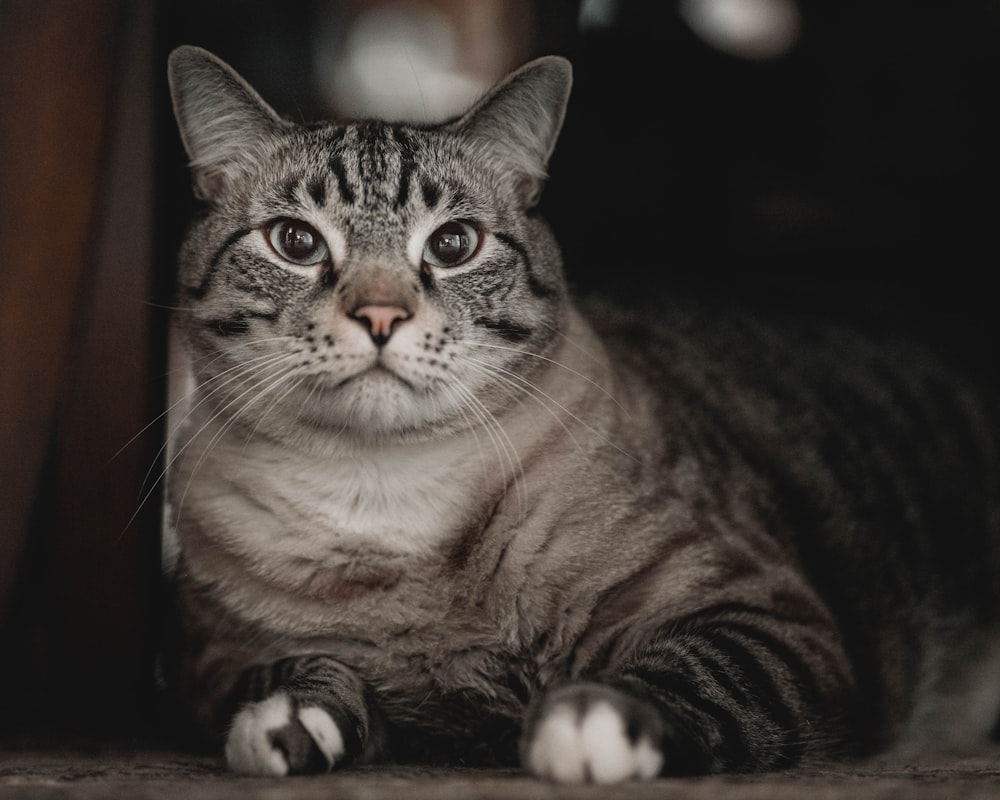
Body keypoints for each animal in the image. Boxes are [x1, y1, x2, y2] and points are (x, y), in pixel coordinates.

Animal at [166, 45, 1000, 780]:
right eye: (297, 242)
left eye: (454, 244)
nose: (379, 316)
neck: (384, 500)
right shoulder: (213, 670)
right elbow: (297, 671)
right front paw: (290, 723)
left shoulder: (760, 612)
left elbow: (690, 672)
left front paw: (588, 721)